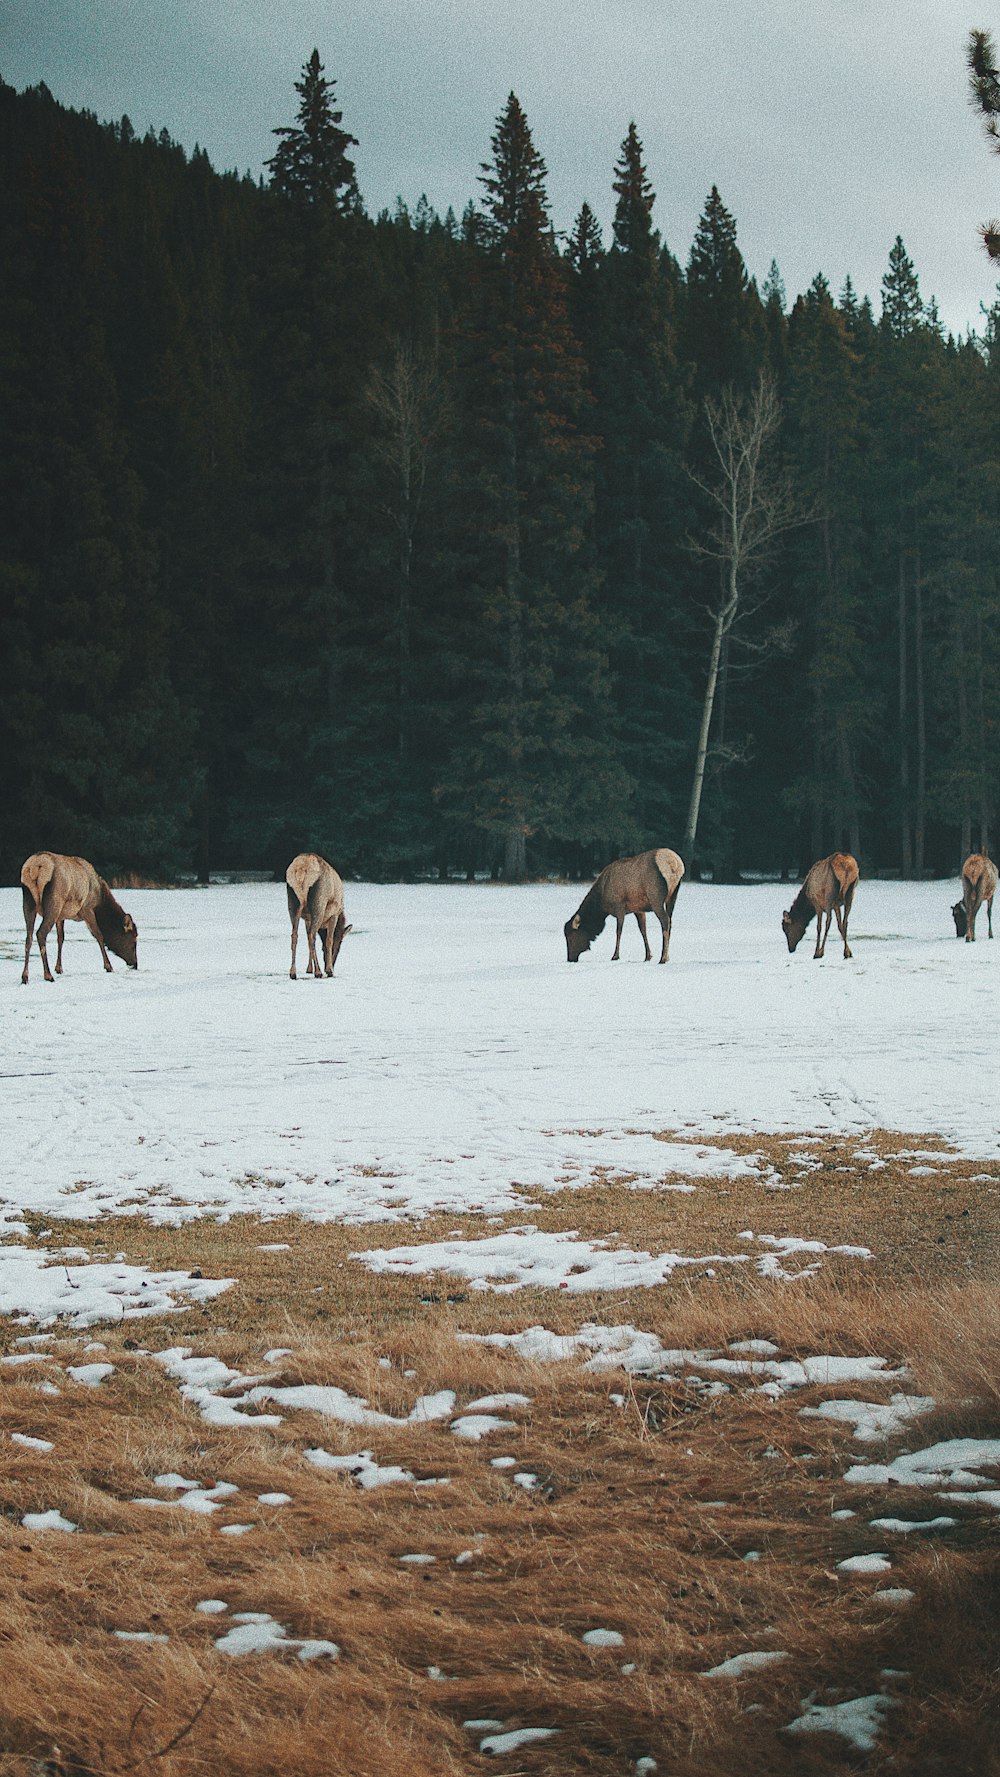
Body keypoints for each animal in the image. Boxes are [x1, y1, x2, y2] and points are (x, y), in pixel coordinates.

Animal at [20, 849, 137, 988]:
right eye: (133, 940)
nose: (135, 964)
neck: (100, 900)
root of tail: (35, 866)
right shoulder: (87, 908)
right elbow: (99, 935)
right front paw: (108, 966)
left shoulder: (61, 916)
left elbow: (61, 938)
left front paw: (59, 968)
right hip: (54, 902)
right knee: (40, 933)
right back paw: (48, 975)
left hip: (28, 901)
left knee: (29, 937)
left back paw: (25, 977)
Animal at [285, 852, 351, 980]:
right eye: (339, 946)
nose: (332, 964)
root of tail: (301, 868)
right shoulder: (334, 914)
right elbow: (329, 940)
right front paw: (329, 970)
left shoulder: (307, 919)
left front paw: (309, 969)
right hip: (318, 904)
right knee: (312, 935)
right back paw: (318, 972)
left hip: (293, 902)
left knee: (295, 935)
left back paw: (293, 972)